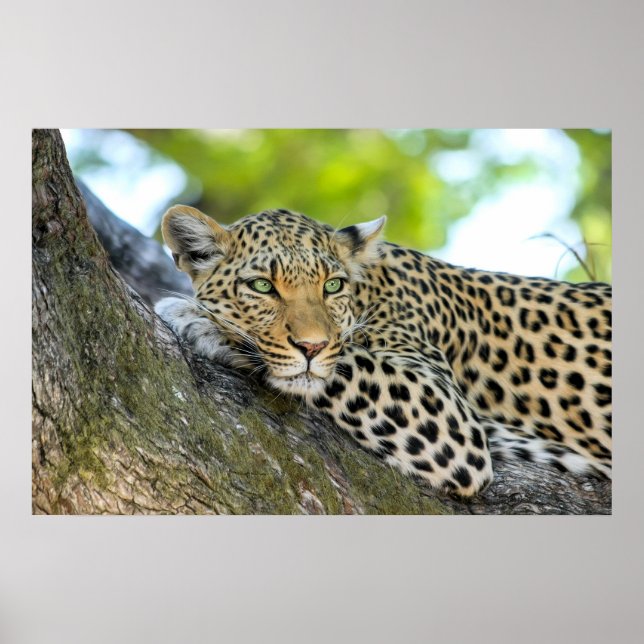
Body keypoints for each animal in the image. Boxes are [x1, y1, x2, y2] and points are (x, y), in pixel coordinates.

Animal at [154, 205, 612, 497]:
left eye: (332, 285)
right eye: (263, 286)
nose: (311, 345)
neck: (370, 290)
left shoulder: (447, 416)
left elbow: (344, 362)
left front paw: (200, 319)